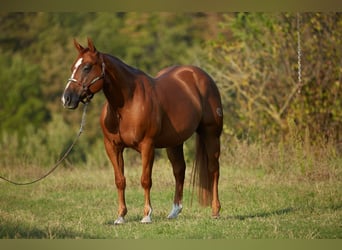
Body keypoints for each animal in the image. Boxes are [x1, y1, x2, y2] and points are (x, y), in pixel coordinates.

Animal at [61, 39, 223, 225]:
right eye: (73, 67)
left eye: (87, 67)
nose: (66, 98)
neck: (126, 104)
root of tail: (201, 76)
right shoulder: (113, 147)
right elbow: (120, 180)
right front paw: (121, 216)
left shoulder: (147, 146)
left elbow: (145, 180)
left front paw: (146, 215)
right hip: (174, 142)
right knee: (179, 170)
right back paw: (174, 211)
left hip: (211, 135)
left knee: (213, 169)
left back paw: (215, 210)